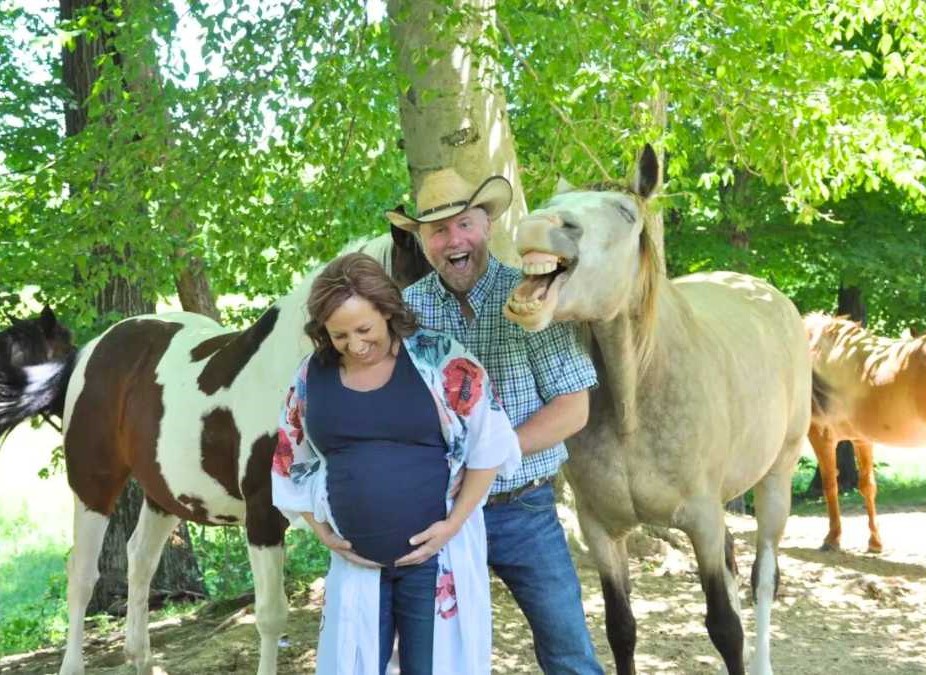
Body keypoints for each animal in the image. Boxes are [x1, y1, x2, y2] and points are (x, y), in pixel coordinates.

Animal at [0, 227, 432, 675]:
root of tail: (91, 352)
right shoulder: (263, 518)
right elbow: (271, 616)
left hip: (164, 493)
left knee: (140, 560)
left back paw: (140, 657)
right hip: (93, 487)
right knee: (82, 574)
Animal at [504, 145, 816, 672]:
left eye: (625, 212)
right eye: (550, 202)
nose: (539, 225)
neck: (634, 403)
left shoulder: (703, 520)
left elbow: (724, 627)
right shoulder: (600, 529)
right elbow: (621, 628)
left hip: (777, 479)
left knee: (763, 579)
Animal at [804, 314, 926, 552]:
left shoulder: (820, 435)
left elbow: (830, 484)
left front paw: (832, 537)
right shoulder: (862, 439)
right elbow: (867, 486)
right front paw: (875, 541)